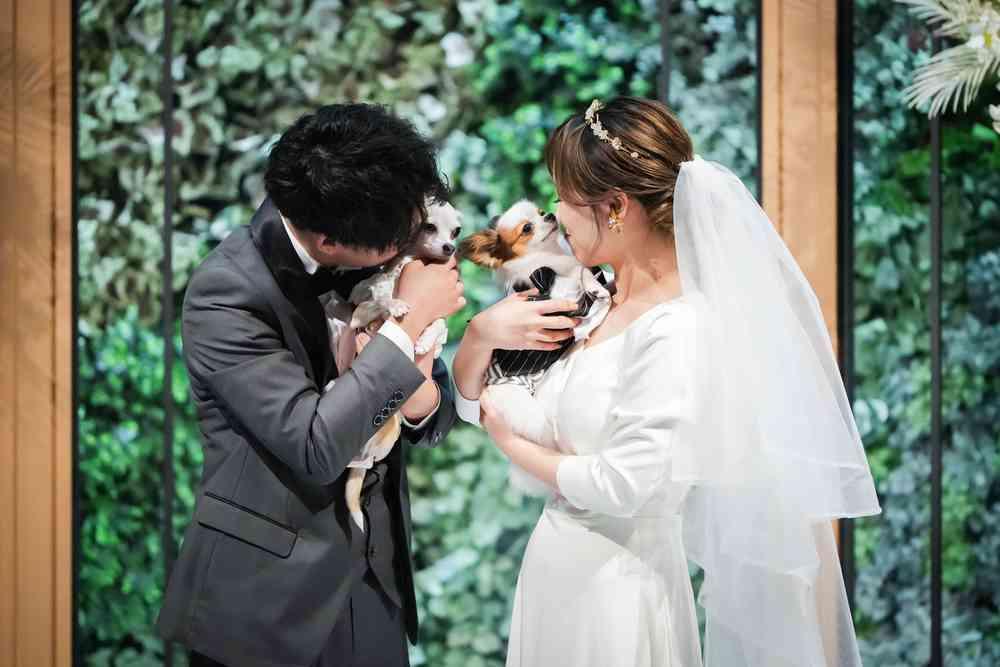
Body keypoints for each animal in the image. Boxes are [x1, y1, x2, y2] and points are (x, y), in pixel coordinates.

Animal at [459, 200, 611, 496]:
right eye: (526, 229)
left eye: (541, 212)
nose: (551, 215)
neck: (550, 256)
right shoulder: (555, 294)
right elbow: (579, 275)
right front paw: (594, 286)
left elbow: (585, 270)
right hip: (523, 409)